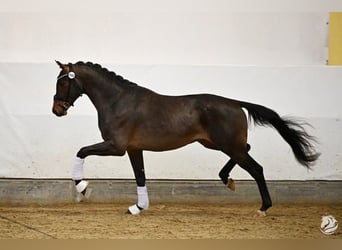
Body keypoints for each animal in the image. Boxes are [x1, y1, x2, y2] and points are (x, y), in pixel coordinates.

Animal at [52, 61, 320, 216]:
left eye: (63, 82)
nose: (56, 110)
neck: (118, 101)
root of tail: (235, 103)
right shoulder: (133, 149)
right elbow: (140, 176)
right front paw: (138, 207)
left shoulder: (116, 147)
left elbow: (81, 151)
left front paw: (82, 187)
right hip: (217, 144)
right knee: (247, 149)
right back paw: (227, 179)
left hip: (226, 144)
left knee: (256, 168)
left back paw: (263, 207)